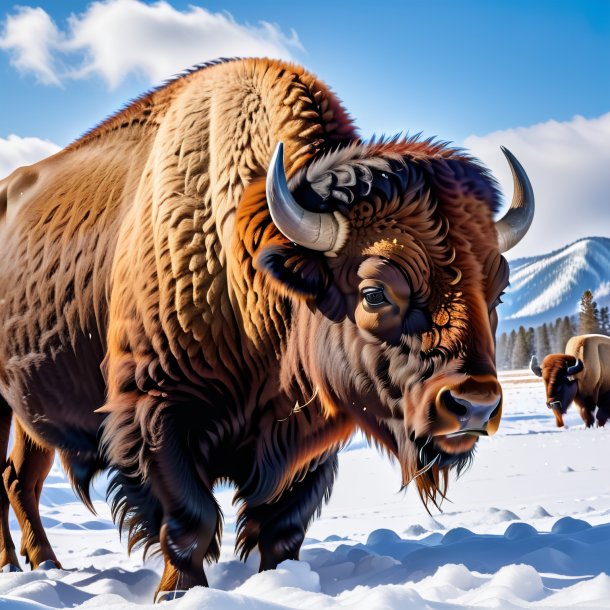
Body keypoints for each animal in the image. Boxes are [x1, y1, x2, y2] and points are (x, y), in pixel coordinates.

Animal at [0, 58, 532, 600]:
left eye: (498, 293)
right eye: (375, 292)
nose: (474, 404)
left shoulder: (308, 441)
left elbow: (282, 525)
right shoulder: (155, 415)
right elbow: (189, 522)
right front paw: (177, 593)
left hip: (29, 414)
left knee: (20, 478)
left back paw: (40, 563)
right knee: (15, 481)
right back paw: (29, 566)